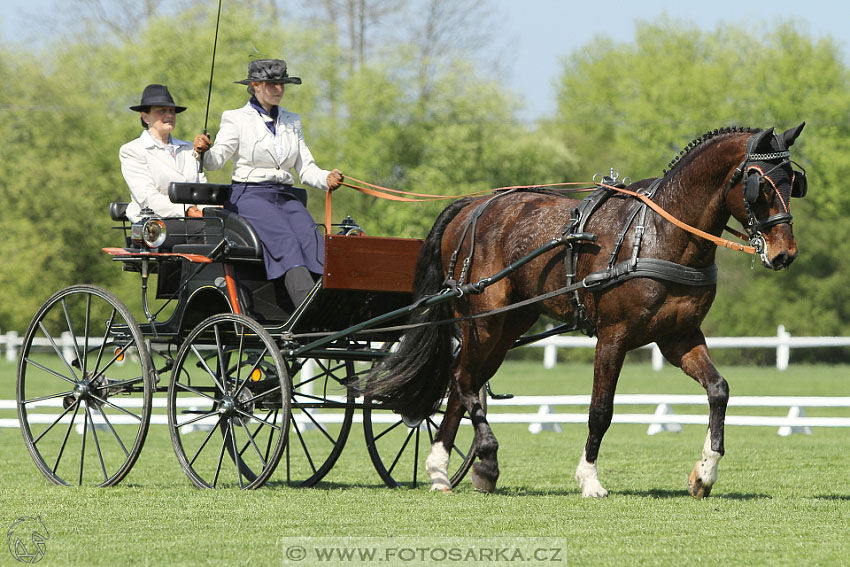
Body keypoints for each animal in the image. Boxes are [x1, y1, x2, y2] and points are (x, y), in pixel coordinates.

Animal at [362, 123, 804, 496]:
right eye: (760, 185)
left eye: (793, 182)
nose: (784, 254)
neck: (659, 235)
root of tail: (473, 205)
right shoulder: (614, 335)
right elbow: (600, 411)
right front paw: (589, 479)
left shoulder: (679, 337)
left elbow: (718, 390)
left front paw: (705, 472)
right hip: (481, 318)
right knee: (463, 379)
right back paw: (485, 458)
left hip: (509, 324)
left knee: (462, 382)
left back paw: (441, 470)